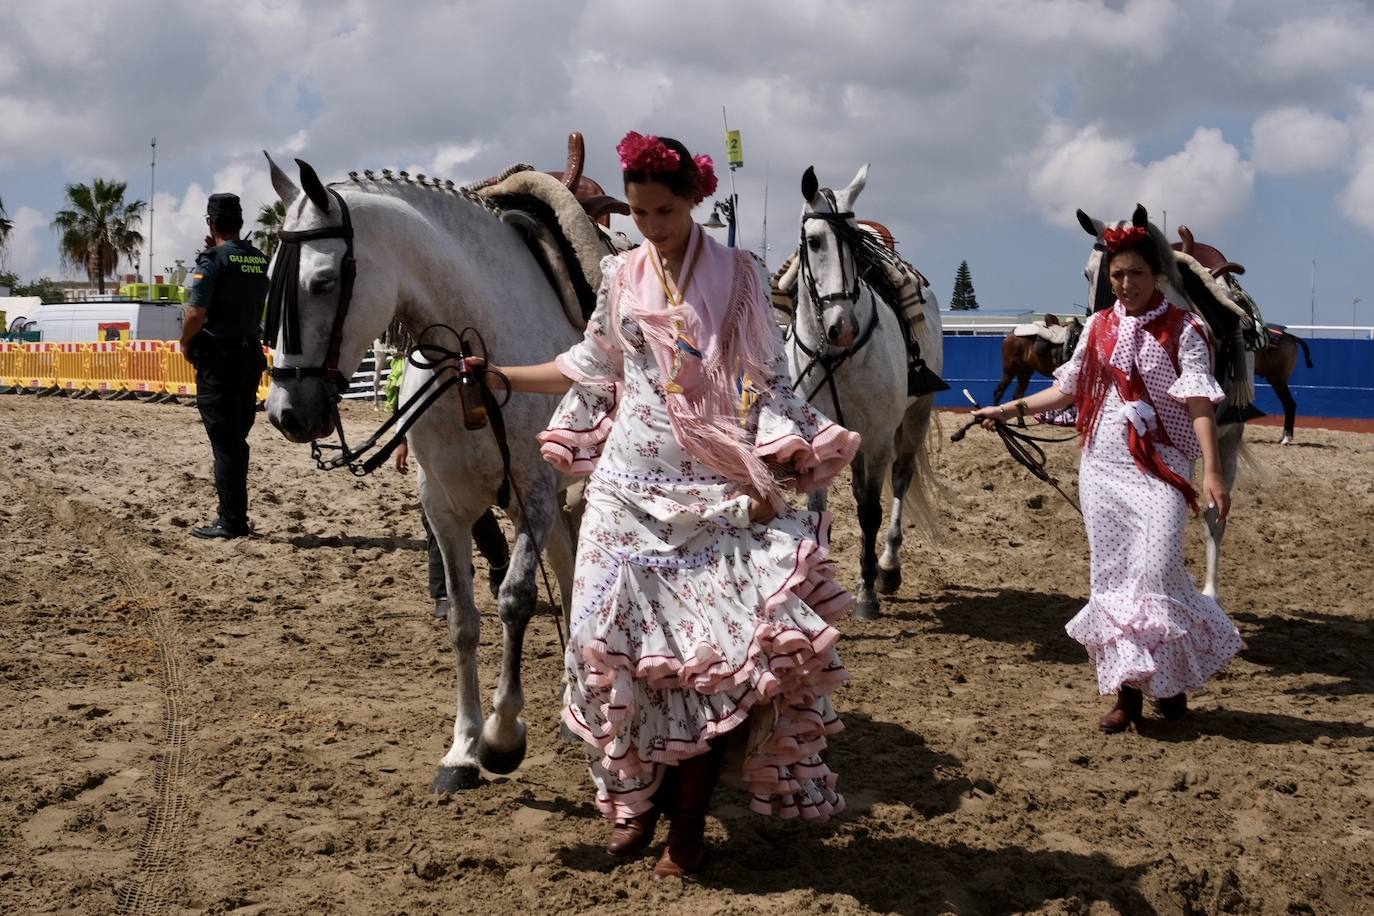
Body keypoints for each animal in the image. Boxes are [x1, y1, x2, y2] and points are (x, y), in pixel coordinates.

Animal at [262, 153, 579, 791]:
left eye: (323, 282)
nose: (285, 413)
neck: (477, 362)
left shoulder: (533, 493)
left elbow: (516, 599)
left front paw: (502, 737)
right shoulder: (445, 507)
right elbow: (462, 620)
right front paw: (463, 749)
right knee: (569, 567)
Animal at [791, 167, 939, 620]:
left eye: (856, 241)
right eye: (814, 240)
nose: (844, 327)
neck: (835, 355)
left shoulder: (876, 439)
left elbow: (870, 512)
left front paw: (868, 594)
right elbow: (818, 510)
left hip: (914, 418)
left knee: (899, 481)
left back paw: (888, 567)